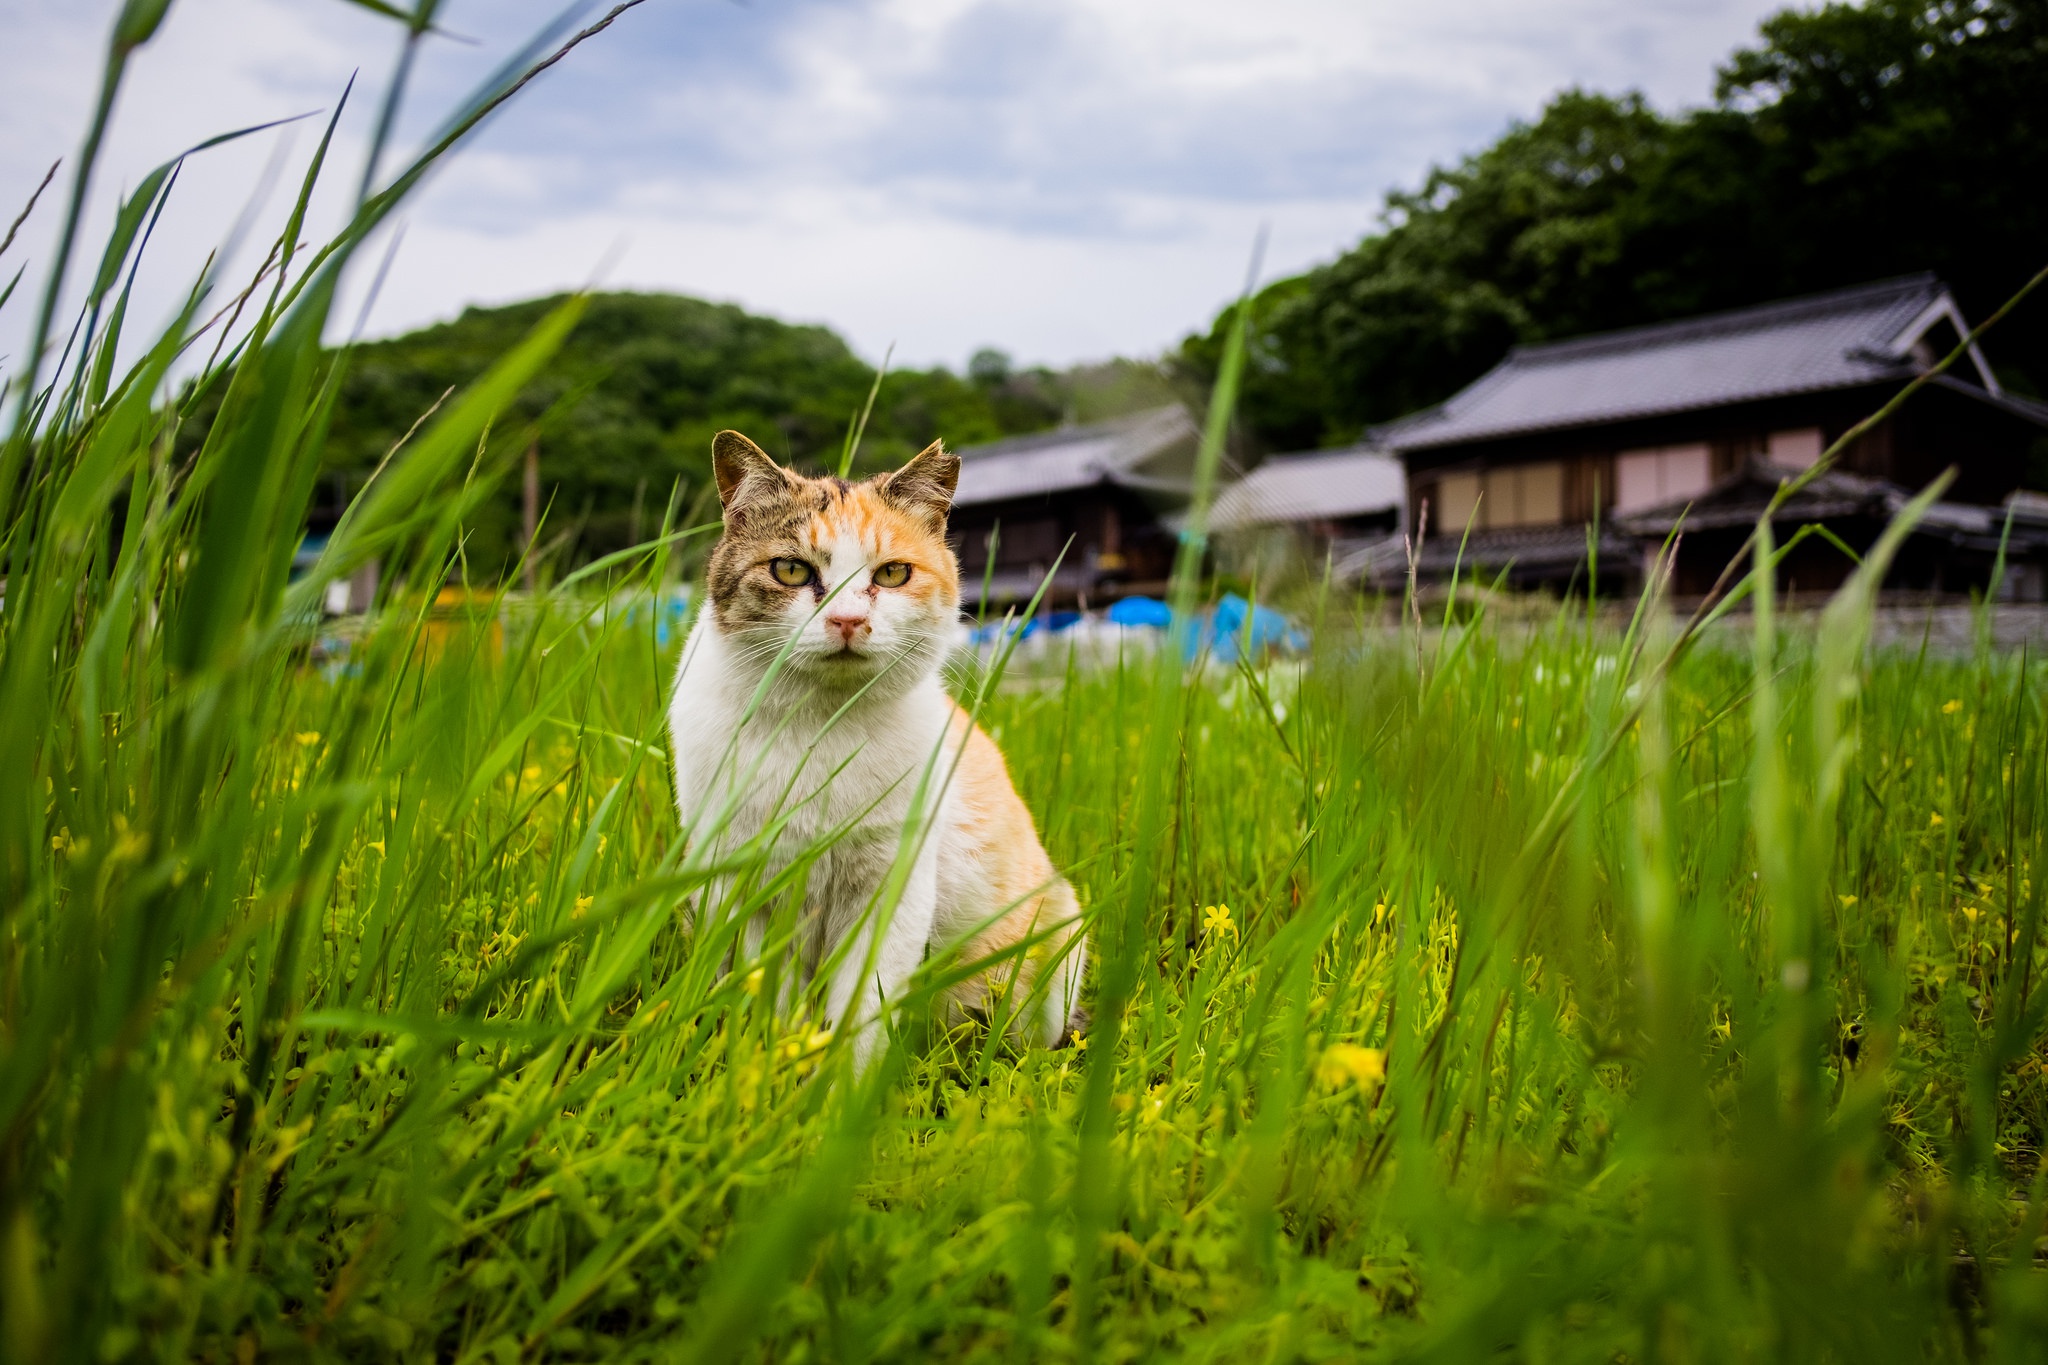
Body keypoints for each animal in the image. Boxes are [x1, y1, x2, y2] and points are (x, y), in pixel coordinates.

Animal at [671, 427, 1089, 1064]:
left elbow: (861, 1015)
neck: (822, 731)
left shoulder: (890, 890)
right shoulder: (744, 889)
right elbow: (772, 1006)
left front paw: (840, 1086)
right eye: (790, 570)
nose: (847, 620)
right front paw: (774, 1068)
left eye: (892, 575)